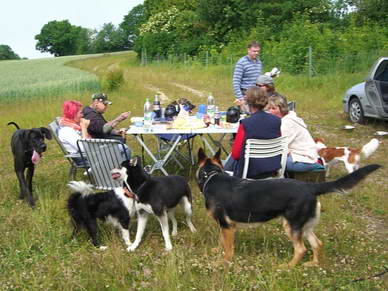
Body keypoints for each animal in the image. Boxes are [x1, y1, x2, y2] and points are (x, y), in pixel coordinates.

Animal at [197, 149, 378, 268]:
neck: (211, 176)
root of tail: (310, 187)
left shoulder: (227, 226)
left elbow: (228, 249)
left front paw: (223, 262)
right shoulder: (225, 226)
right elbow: (221, 241)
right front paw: (217, 251)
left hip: (291, 226)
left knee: (301, 249)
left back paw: (288, 267)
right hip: (305, 226)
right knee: (317, 243)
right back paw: (313, 264)